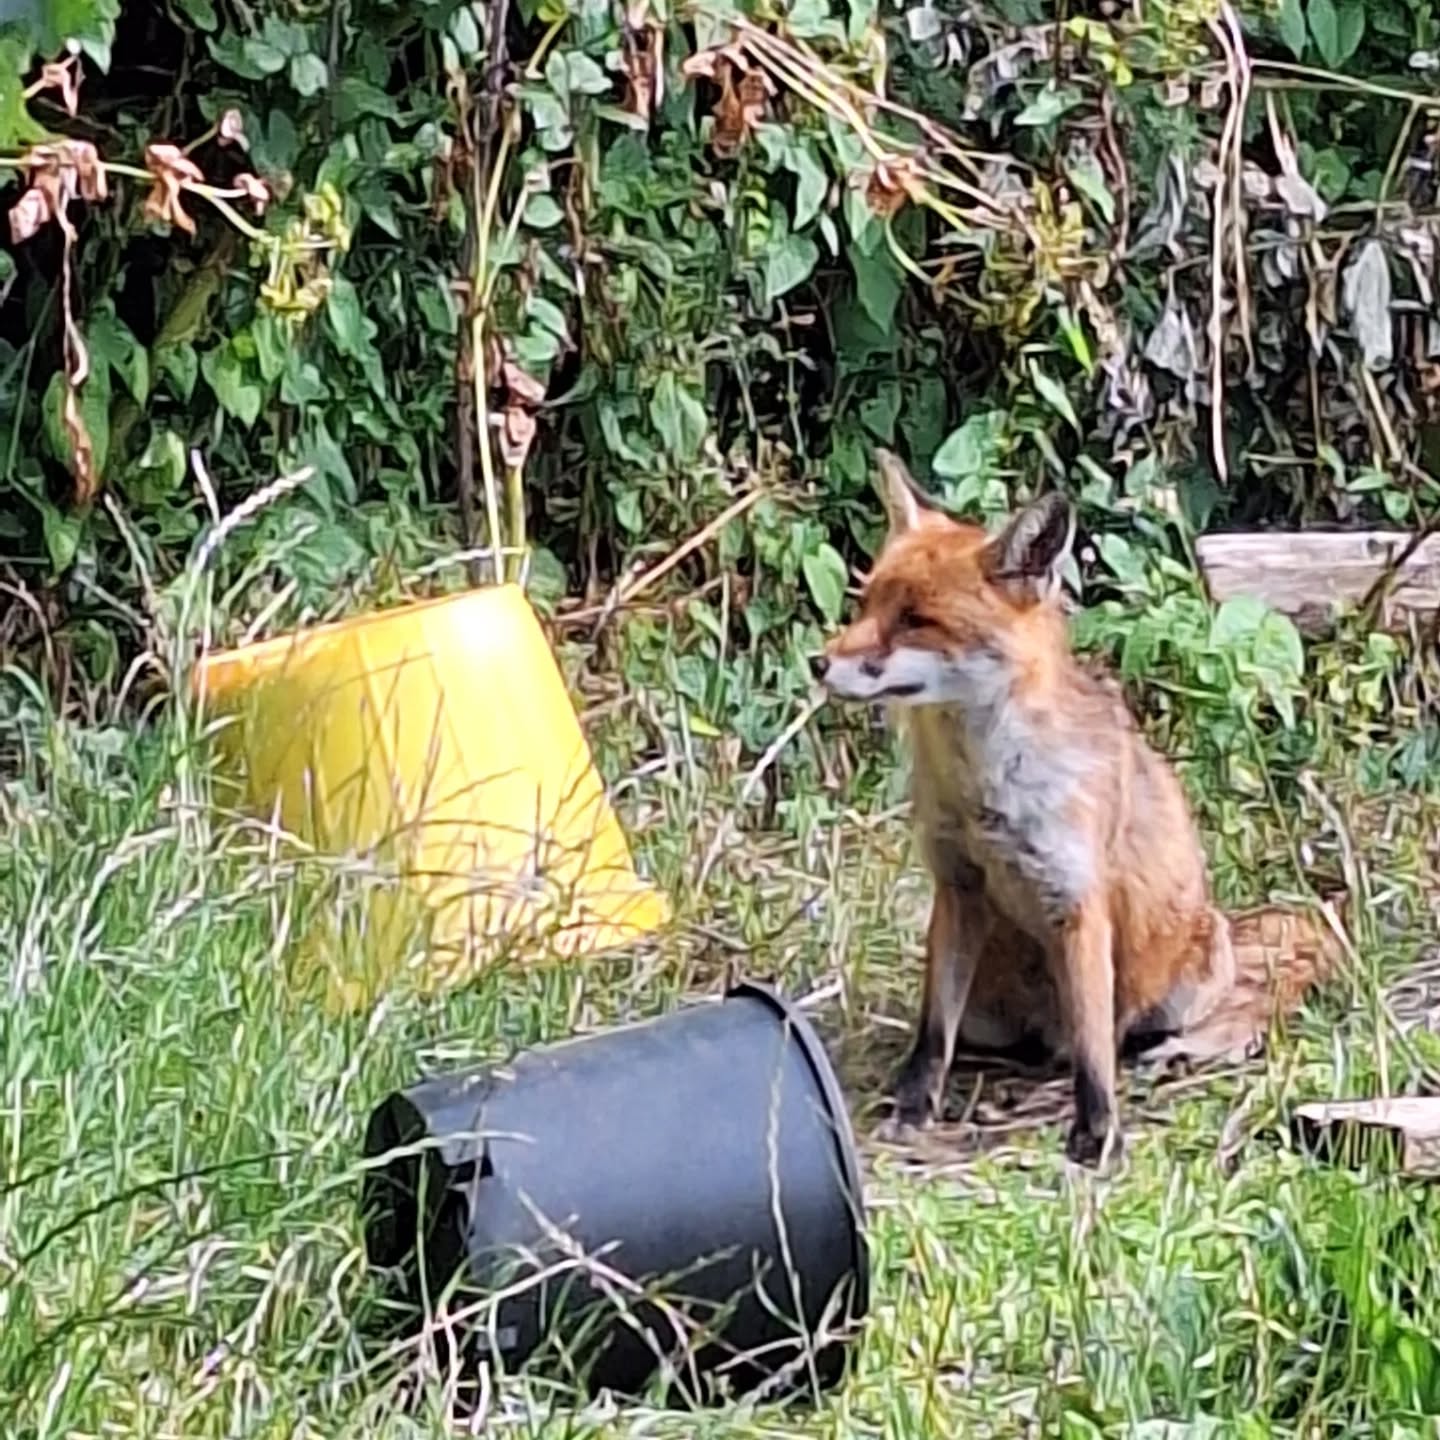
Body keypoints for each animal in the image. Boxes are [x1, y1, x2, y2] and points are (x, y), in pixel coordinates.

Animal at [816, 450, 1339, 1167]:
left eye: (916, 620)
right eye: (866, 603)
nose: (819, 664)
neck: (981, 793)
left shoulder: (1078, 903)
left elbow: (1094, 1048)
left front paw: (1097, 1136)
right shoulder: (957, 888)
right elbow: (932, 1033)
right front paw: (913, 1108)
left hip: (1194, 974)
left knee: (1223, 1012)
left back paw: (1180, 1051)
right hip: (991, 1007)